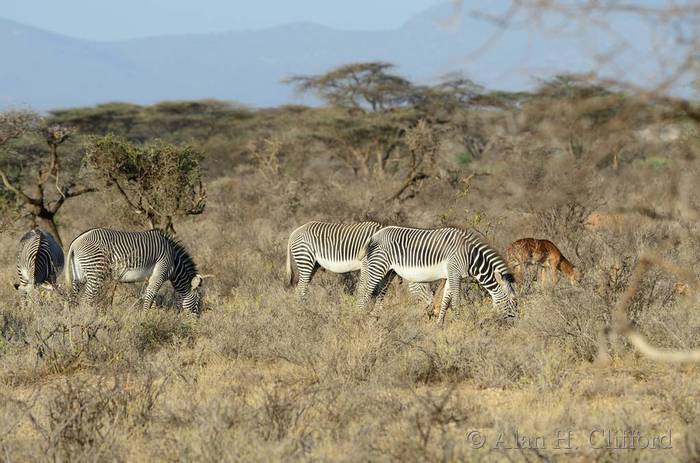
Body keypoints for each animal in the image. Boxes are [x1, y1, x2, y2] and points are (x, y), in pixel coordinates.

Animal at [66, 227, 205, 312]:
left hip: (80, 274)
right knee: (87, 299)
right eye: (198, 303)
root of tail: (76, 242)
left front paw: (153, 317)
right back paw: (89, 318)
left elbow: (152, 300)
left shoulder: (151, 278)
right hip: (96, 272)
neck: (174, 262)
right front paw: (145, 320)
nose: (195, 325)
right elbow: (149, 298)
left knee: (74, 296)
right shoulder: (159, 273)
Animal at [284, 221, 432, 304]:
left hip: (314, 264)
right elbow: (364, 289)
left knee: (301, 288)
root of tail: (295, 231)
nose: (431, 304)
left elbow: (380, 292)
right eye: (424, 285)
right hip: (305, 259)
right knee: (300, 289)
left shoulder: (387, 272)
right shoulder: (367, 265)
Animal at [358, 227, 516, 324]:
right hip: (377, 268)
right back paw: (359, 320)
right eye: (513, 302)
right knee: (364, 293)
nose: (515, 324)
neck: (471, 257)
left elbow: (445, 301)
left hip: (388, 272)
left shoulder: (450, 275)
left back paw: (374, 319)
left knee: (378, 293)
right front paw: (460, 324)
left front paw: (440, 325)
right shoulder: (455, 273)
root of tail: (374, 235)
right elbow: (456, 301)